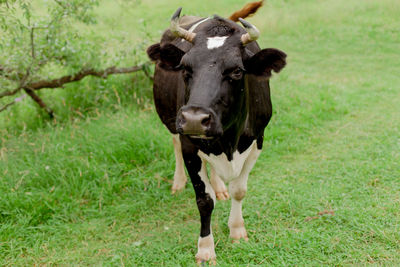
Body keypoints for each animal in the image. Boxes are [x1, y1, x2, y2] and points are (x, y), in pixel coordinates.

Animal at [145, 2, 286, 266]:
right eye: (185, 68)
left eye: (237, 71)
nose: (194, 119)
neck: (230, 141)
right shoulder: (190, 145)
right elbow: (204, 200)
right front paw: (205, 249)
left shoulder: (258, 139)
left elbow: (239, 190)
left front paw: (238, 230)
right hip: (171, 121)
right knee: (175, 144)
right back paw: (178, 182)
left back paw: (219, 186)